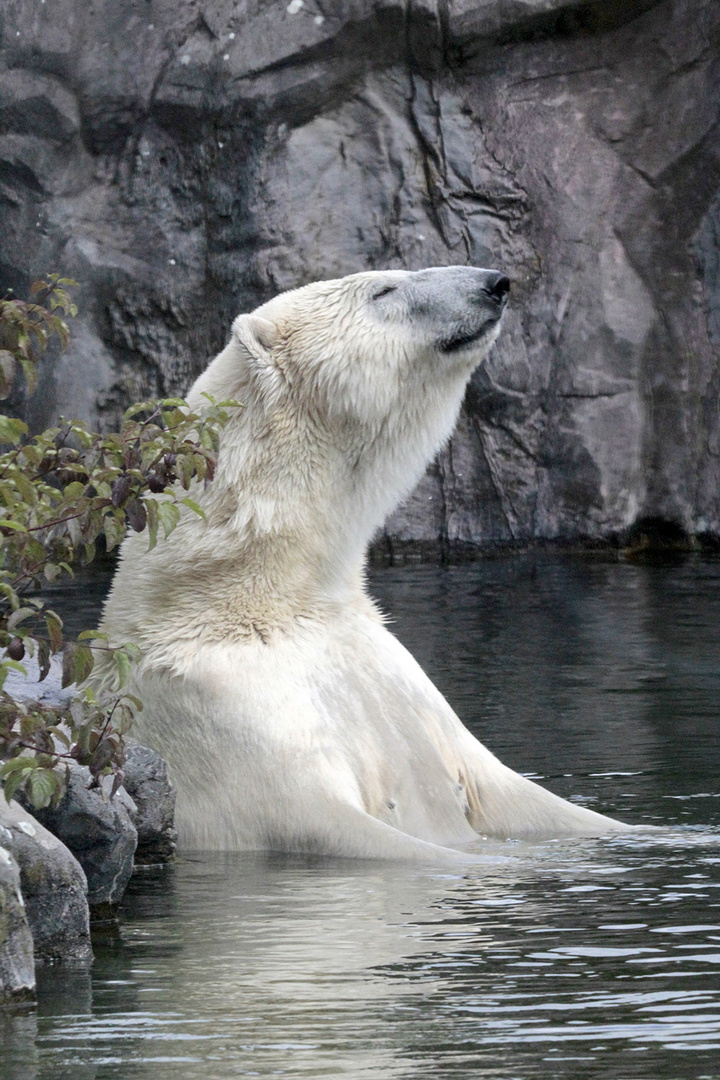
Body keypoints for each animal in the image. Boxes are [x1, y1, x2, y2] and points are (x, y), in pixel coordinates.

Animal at [98, 265, 626, 855]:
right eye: (385, 290)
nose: (495, 282)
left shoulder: (399, 686)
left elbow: (518, 795)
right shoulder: (225, 724)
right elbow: (322, 818)